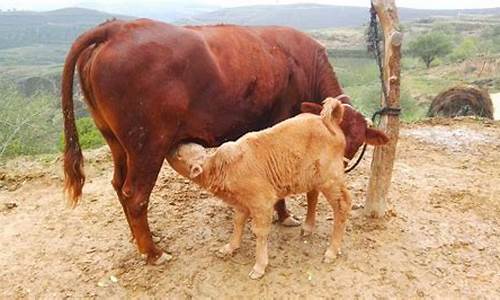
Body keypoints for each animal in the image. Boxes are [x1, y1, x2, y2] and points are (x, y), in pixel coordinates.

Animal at [61, 18, 352, 264]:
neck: (304, 65)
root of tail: (117, 28)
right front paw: (284, 215)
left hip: (118, 144)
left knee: (118, 185)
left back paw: (141, 240)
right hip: (148, 148)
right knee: (135, 196)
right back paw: (153, 253)